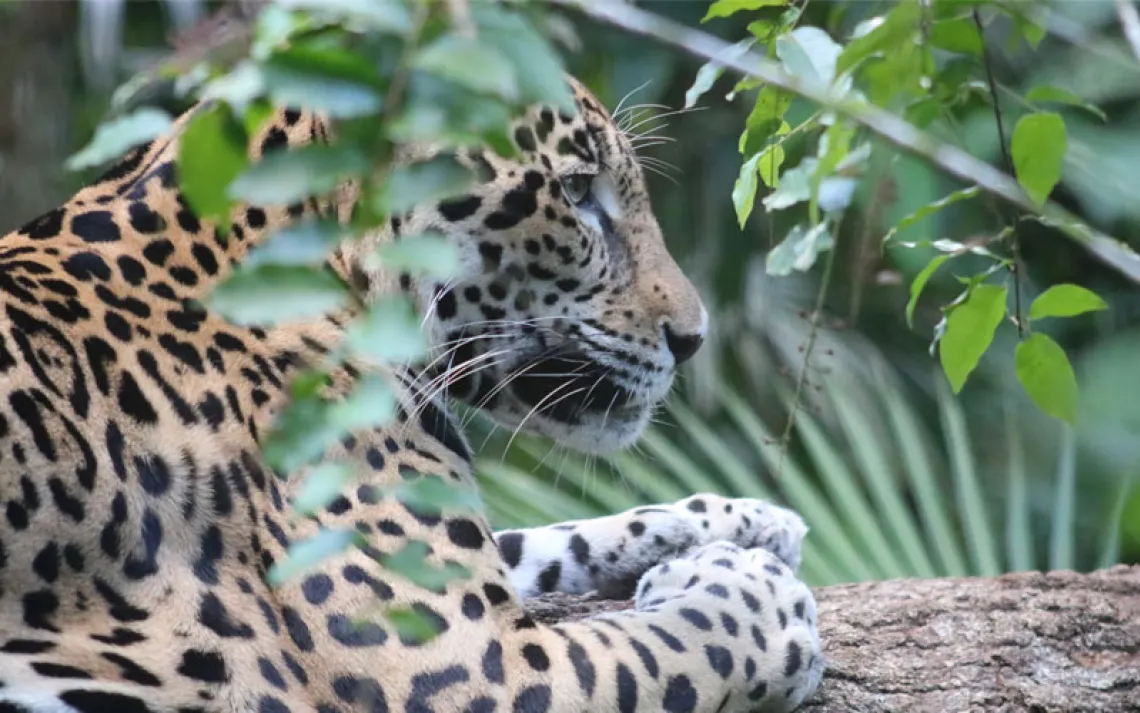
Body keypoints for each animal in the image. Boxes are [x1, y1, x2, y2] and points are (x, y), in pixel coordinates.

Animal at [0, 72, 824, 713]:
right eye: (576, 191)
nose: (694, 338)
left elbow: (545, 538)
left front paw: (744, 520)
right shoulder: (470, 671)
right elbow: (685, 640)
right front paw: (758, 591)